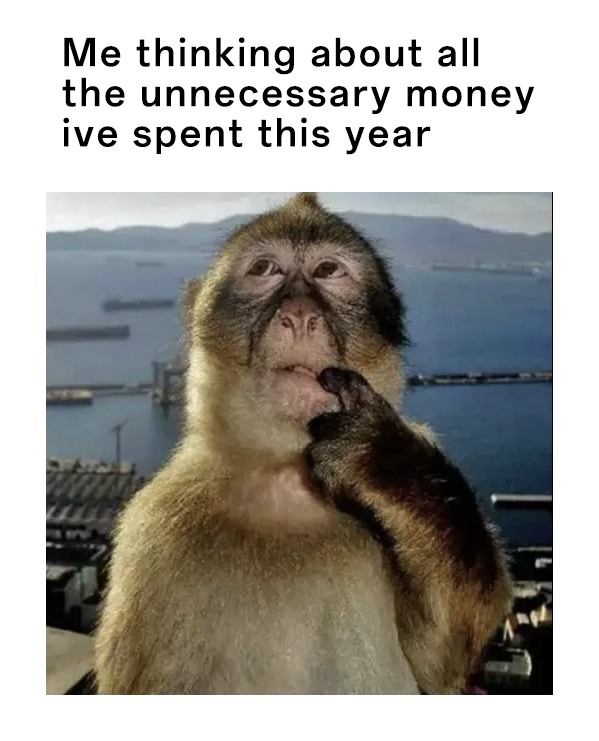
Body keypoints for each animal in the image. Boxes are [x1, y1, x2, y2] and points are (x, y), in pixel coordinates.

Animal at [95, 192, 512, 695]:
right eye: (265, 269)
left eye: (329, 270)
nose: (299, 315)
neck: (285, 481)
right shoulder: (152, 536)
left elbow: (441, 663)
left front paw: (383, 460)